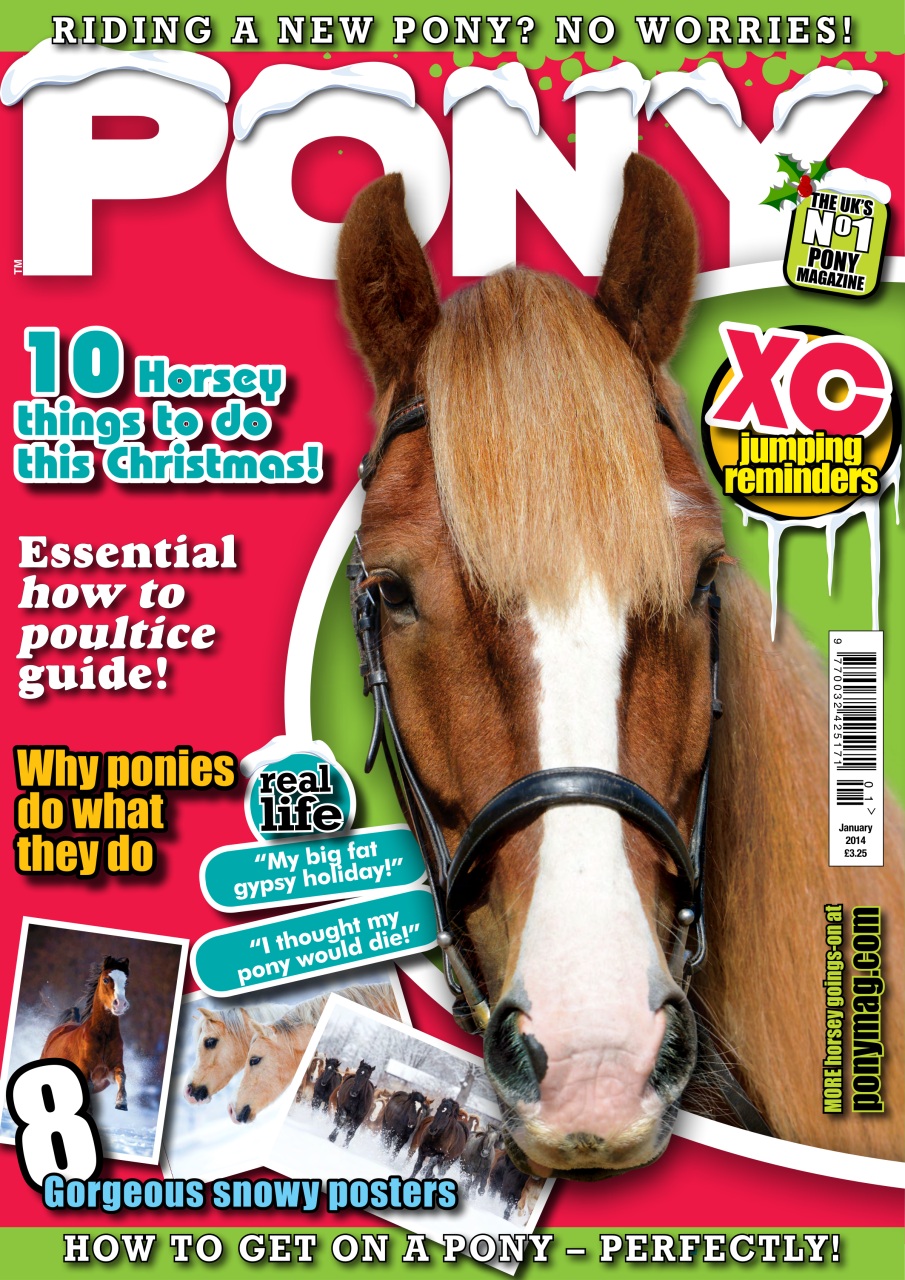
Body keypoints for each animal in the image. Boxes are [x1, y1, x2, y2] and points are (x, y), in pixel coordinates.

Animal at [41, 956, 130, 1110]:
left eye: (126, 981)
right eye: (106, 979)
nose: (120, 1004)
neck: (103, 1038)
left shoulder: (111, 1070)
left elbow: (122, 1076)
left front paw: (121, 1103)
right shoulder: (85, 1071)